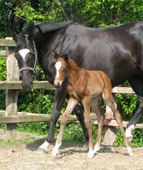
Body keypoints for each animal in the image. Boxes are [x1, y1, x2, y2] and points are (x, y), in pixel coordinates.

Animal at [13, 20, 143, 152]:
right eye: (16, 56)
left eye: (31, 54)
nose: (26, 84)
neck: (59, 42)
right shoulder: (71, 90)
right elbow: (79, 114)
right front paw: (87, 142)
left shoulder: (61, 86)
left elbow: (55, 112)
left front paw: (46, 143)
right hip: (135, 77)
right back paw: (129, 131)